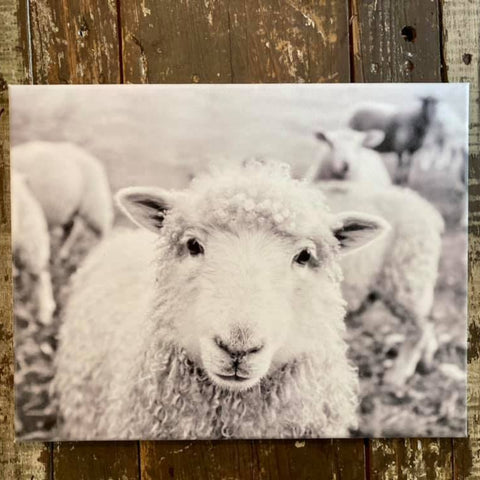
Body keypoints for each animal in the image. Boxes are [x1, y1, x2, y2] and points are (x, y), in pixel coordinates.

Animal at [320, 182, 444, 388]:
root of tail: (427, 209)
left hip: (406, 275)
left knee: (419, 327)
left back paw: (397, 376)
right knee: (427, 322)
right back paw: (425, 362)